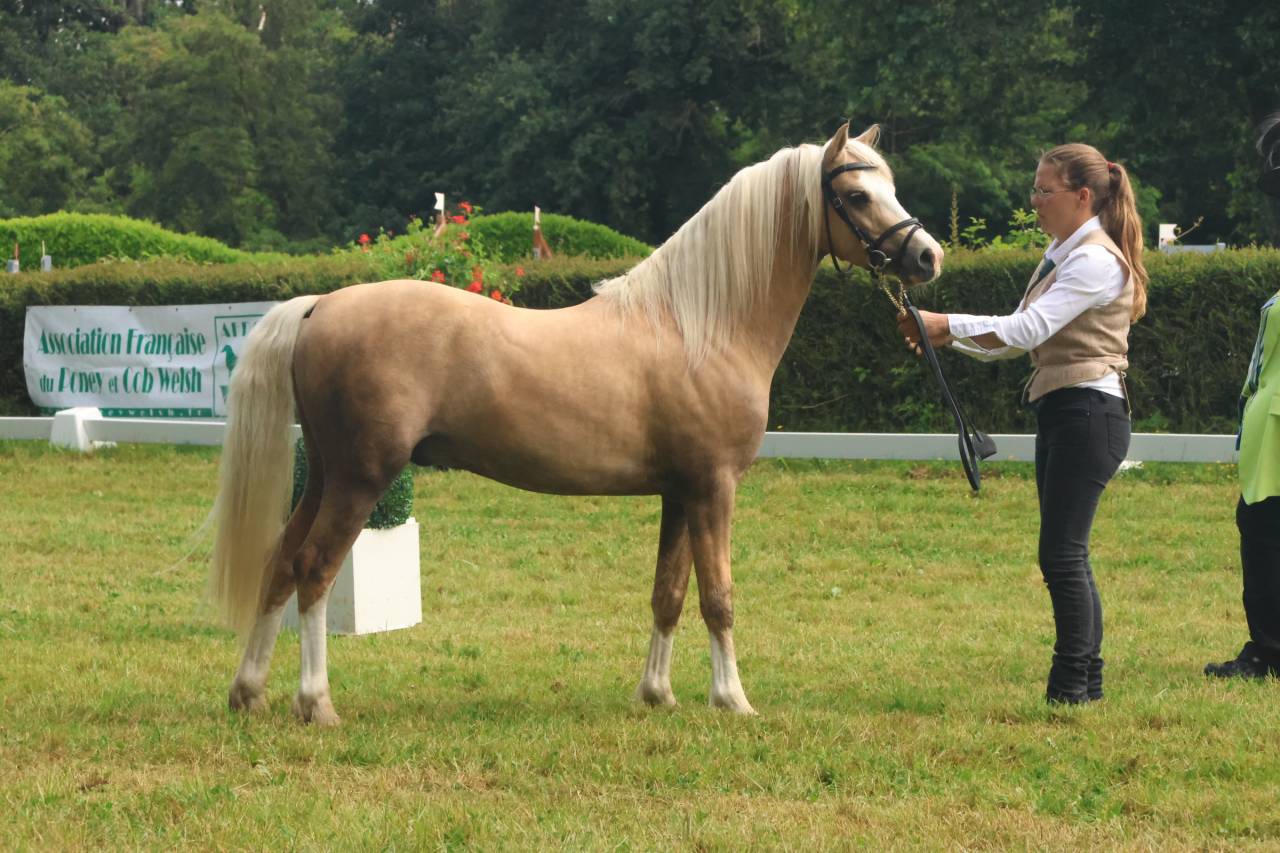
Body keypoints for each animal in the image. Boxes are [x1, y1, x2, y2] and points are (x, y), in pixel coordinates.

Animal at [209, 123, 943, 725]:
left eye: (890, 186)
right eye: (856, 195)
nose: (928, 257)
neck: (699, 326)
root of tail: (319, 305)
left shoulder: (679, 491)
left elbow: (669, 593)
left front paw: (657, 694)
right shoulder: (714, 488)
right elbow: (719, 595)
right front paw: (732, 698)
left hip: (323, 475)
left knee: (280, 562)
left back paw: (249, 692)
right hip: (361, 478)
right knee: (314, 569)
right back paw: (315, 702)